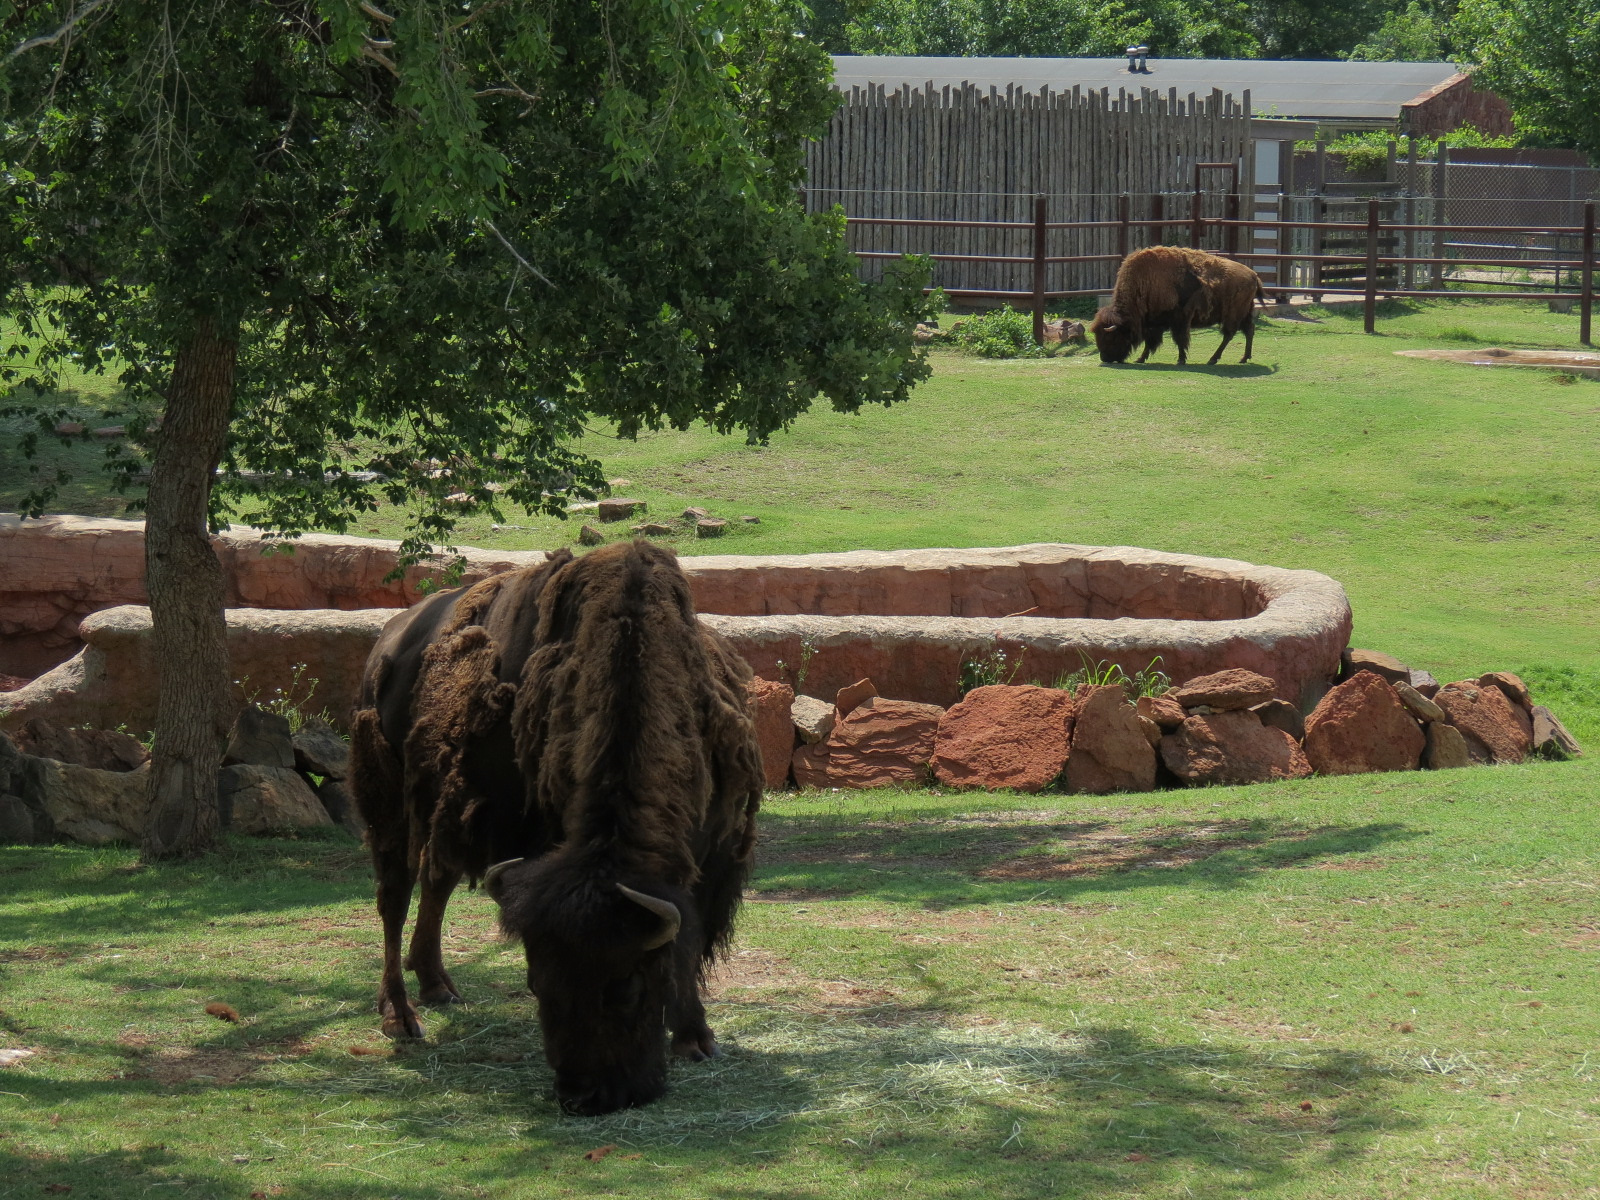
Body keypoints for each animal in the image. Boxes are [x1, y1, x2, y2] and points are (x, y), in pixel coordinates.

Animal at [348, 540, 764, 1115]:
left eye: (627, 988)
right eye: (536, 982)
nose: (583, 1095)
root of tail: (387, 642)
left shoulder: (709, 856)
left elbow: (688, 937)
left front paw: (696, 1040)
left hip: (450, 813)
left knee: (436, 881)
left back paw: (438, 986)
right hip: (391, 805)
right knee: (394, 896)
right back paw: (400, 1016)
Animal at [1091, 245, 1264, 365]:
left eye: (1110, 336)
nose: (1104, 358)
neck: (1144, 283)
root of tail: (1253, 275)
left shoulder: (1178, 320)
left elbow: (1179, 339)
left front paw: (1180, 360)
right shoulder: (1155, 324)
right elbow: (1151, 342)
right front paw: (1140, 358)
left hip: (1232, 315)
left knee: (1229, 334)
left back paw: (1213, 359)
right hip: (1244, 313)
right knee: (1249, 330)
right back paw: (1243, 358)